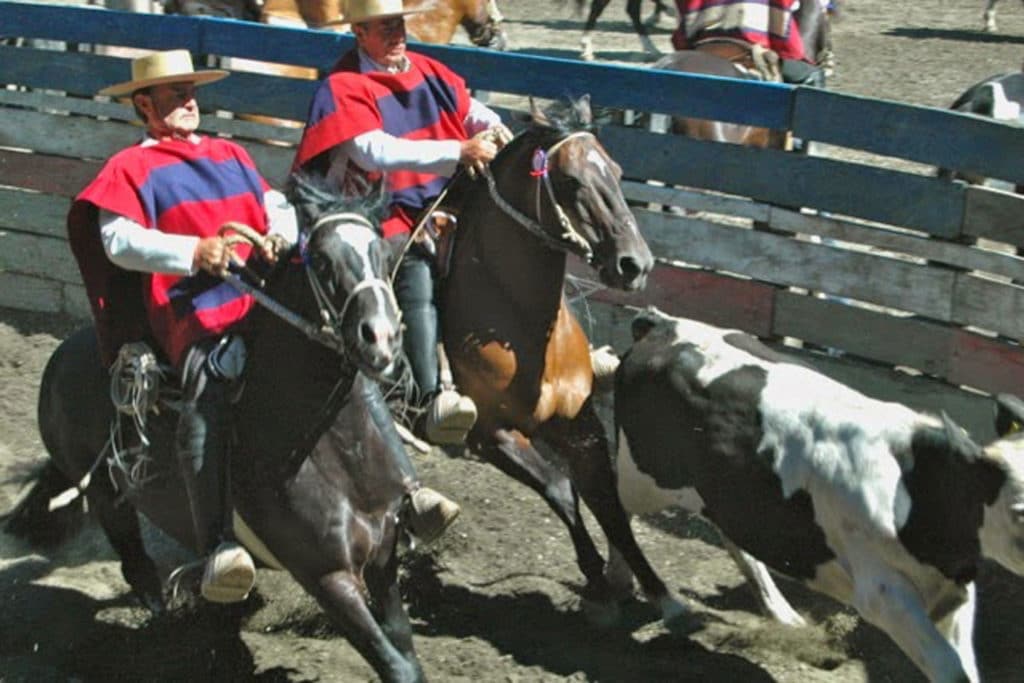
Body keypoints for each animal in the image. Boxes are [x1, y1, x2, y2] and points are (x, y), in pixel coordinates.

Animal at [7, 185, 440, 683]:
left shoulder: (384, 556)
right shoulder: (325, 576)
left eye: (382, 255)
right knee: (132, 555)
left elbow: (404, 649)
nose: (381, 339)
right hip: (103, 489)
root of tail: (60, 360)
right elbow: (395, 663)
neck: (328, 452)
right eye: (322, 260)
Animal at [436, 97, 692, 630]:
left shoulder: (581, 427)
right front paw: (597, 584)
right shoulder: (491, 433)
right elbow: (559, 488)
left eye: (616, 171)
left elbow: (608, 504)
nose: (636, 265)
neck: (526, 331)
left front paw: (661, 594)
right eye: (572, 181)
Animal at [610, 307, 1024, 679]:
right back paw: (647, 593)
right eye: (1019, 511)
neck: (912, 486)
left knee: (733, 535)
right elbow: (950, 668)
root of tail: (658, 325)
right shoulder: (884, 595)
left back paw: (781, 612)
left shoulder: (956, 592)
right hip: (640, 475)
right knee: (614, 515)